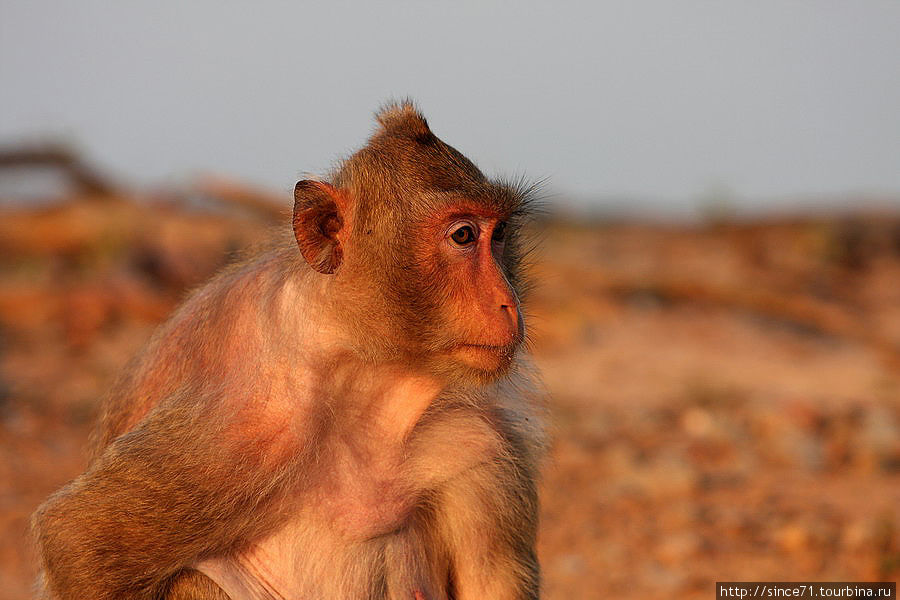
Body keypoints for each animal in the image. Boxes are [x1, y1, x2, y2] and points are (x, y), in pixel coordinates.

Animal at [31, 102, 544, 600]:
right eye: (463, 236)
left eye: (499, 234)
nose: (508, 302)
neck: (361, 369)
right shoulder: (245, 425)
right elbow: (76, 538)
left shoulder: (476, 438)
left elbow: (489, 576)